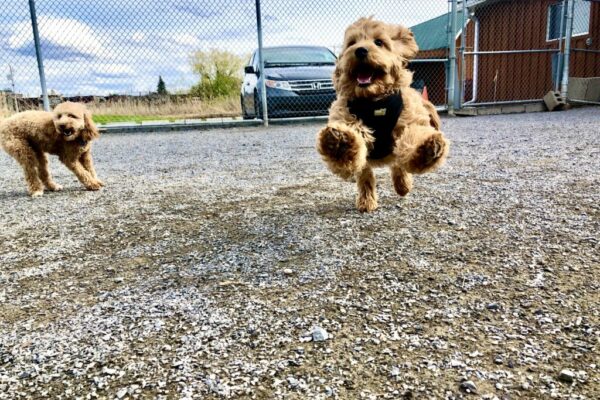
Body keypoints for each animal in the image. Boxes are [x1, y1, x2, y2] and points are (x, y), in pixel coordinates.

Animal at [318, 18, 450, 212]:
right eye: (352, 43)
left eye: (379, 42)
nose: (360, 50)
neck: (374, 101)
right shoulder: (346, 118)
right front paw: (340, 143)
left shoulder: (408, 120)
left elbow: (413, 138)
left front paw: (427, 148)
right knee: (366, 177)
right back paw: (367, 200)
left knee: (398, 164)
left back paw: (403, 185)